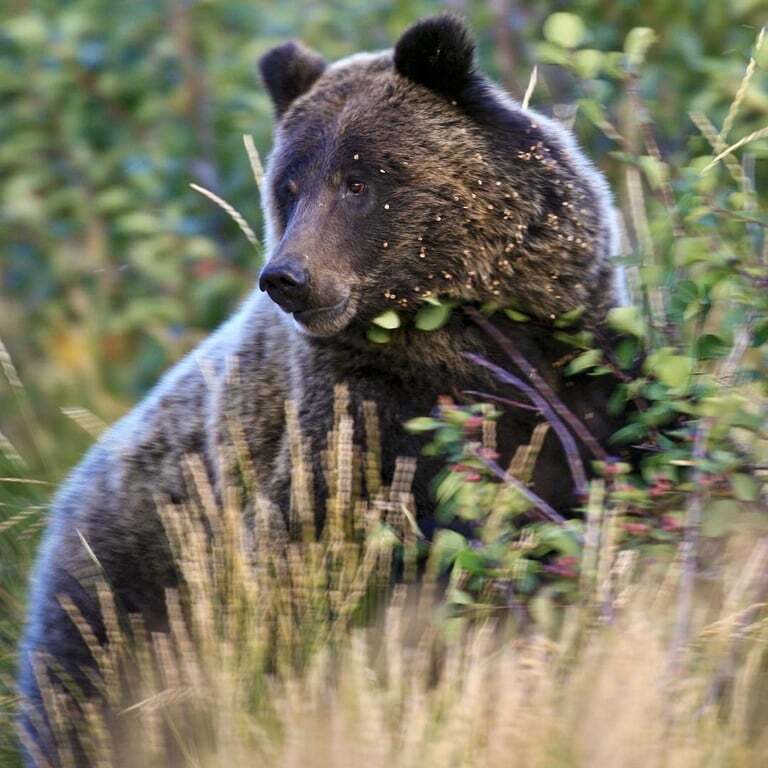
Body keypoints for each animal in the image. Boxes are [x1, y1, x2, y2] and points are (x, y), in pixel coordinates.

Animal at [18, 13, 620, 768]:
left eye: (359, 180)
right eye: (290, 185)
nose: (287, 277)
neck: (461, 347)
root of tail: (61, 506)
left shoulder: (574, 385)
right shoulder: (348, 431)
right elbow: (313, 579)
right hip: (120, 604)